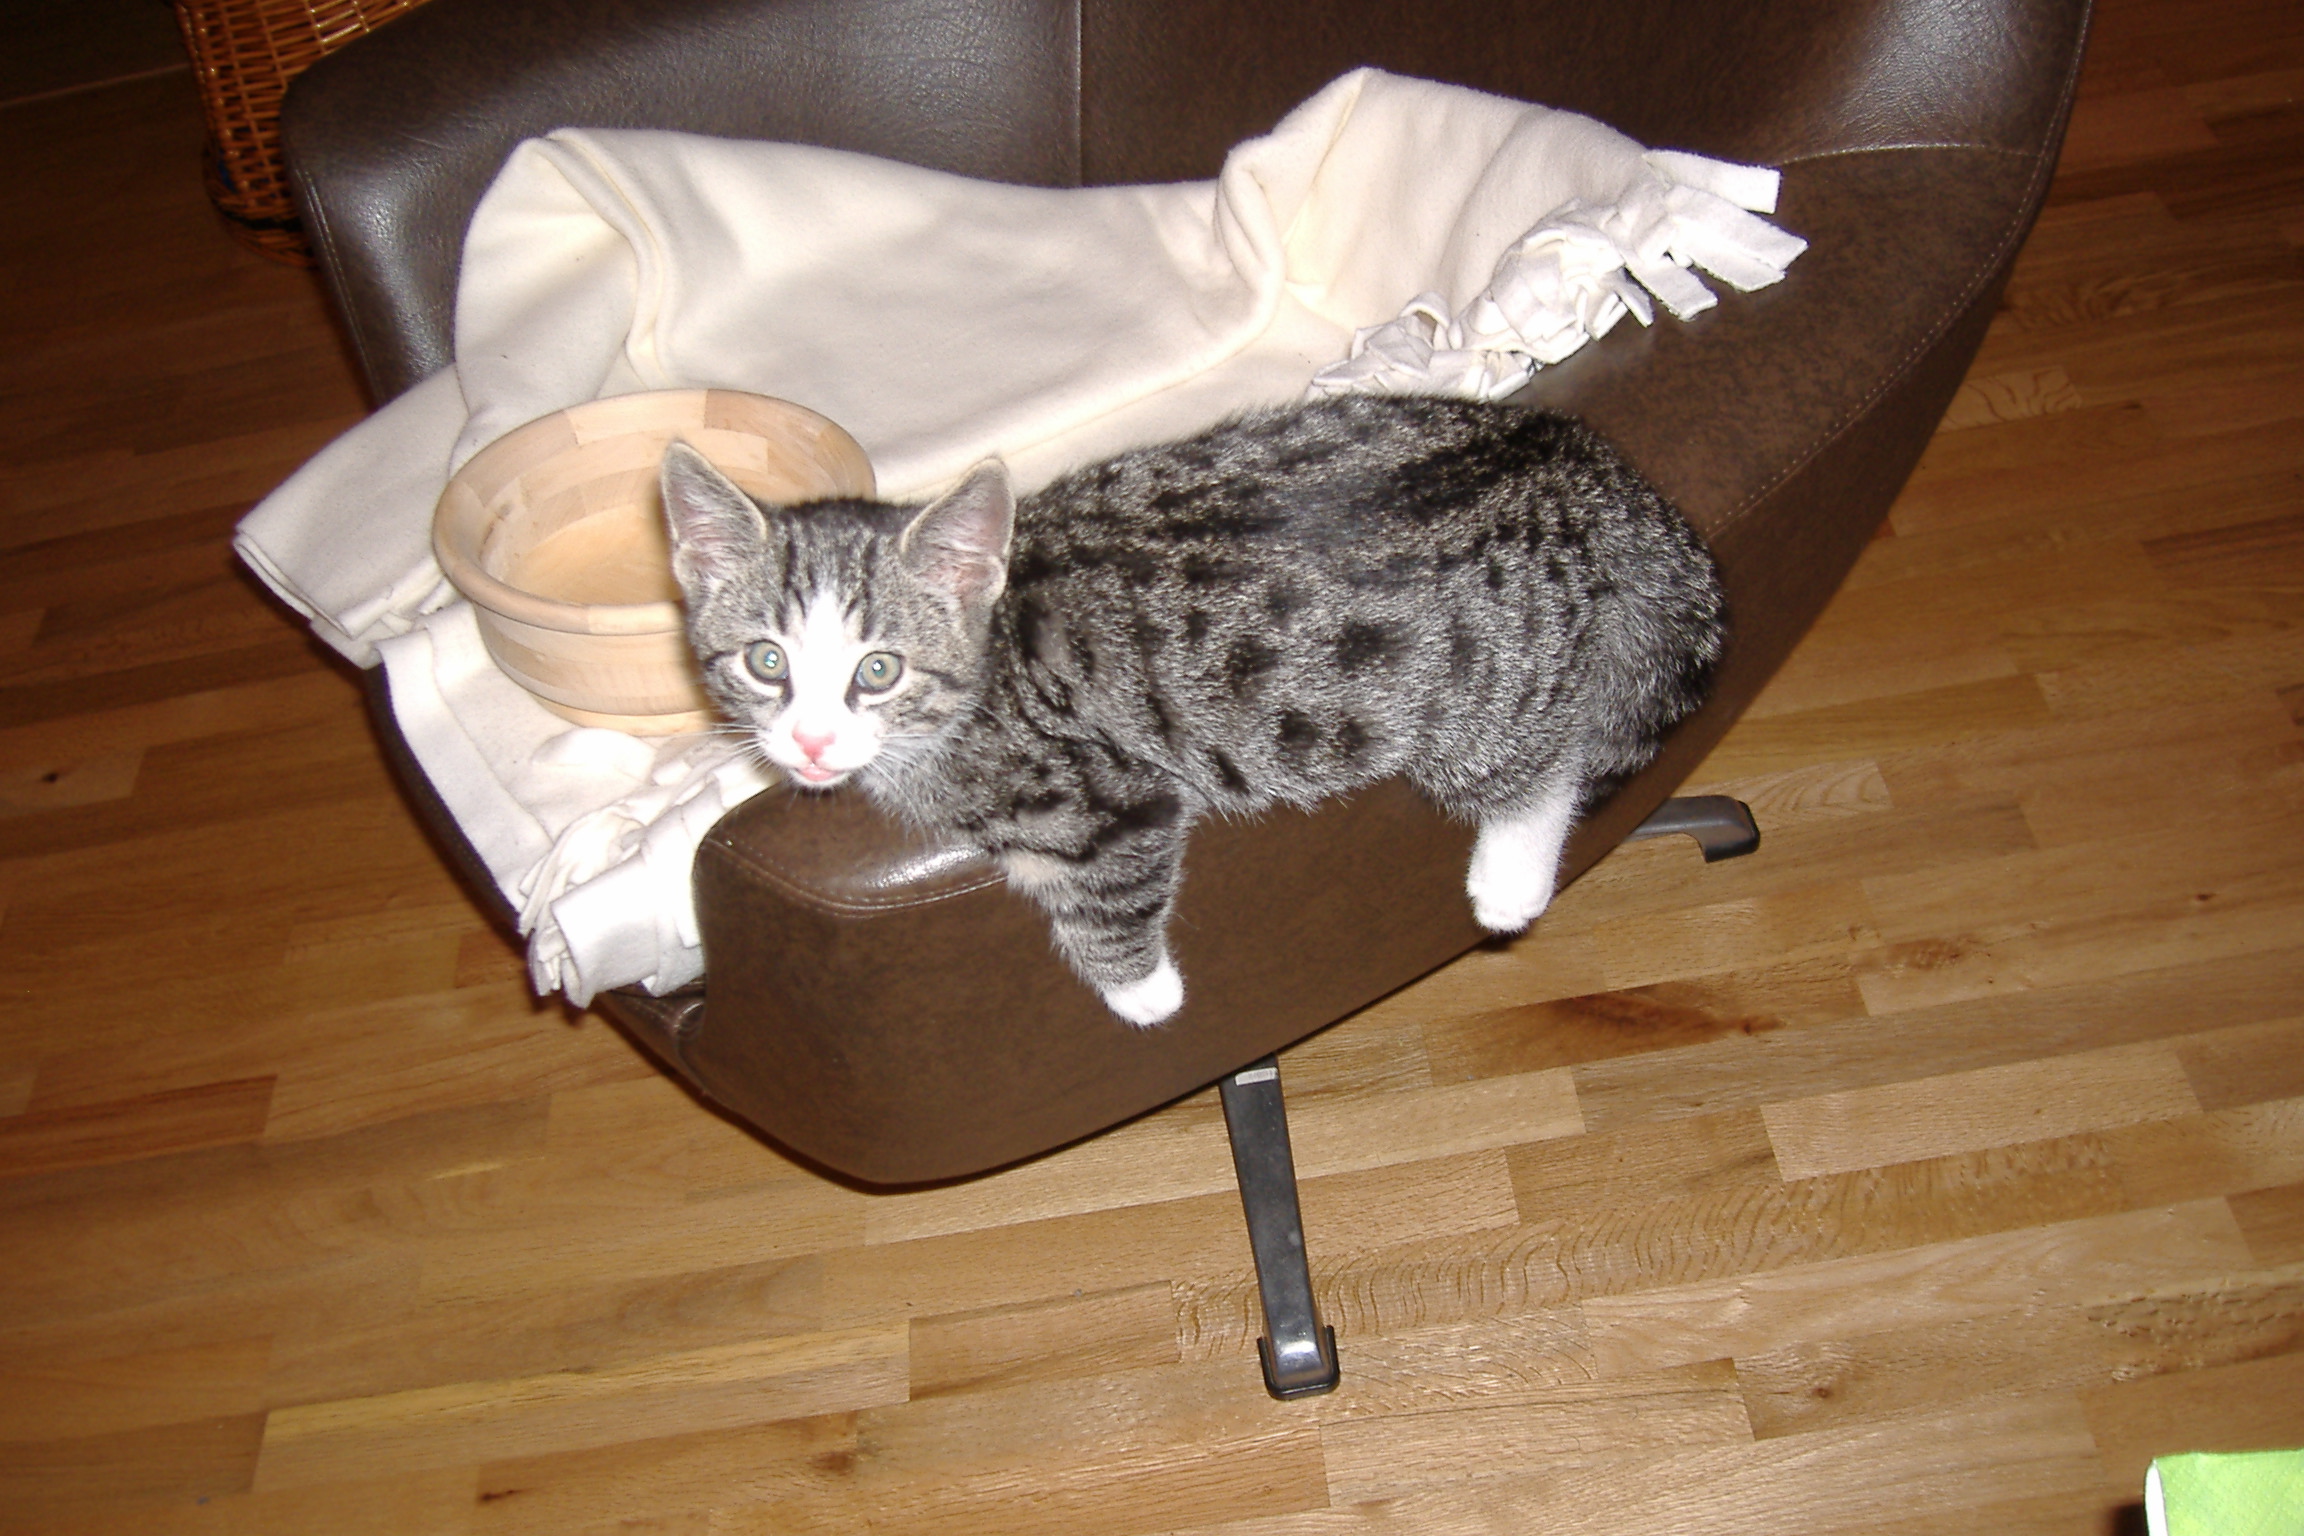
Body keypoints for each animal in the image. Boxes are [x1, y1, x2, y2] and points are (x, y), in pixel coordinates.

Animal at [658, 396, 1723, 1022]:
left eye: (879, 670)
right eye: (764, 662)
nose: (809, 741)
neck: (989, 667)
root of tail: (1559, 444)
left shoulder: (1105, 797)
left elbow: (1107, 884)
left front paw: (1148, 995)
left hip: (1476, 690)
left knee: (1540, 758)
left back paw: (1511, 877)